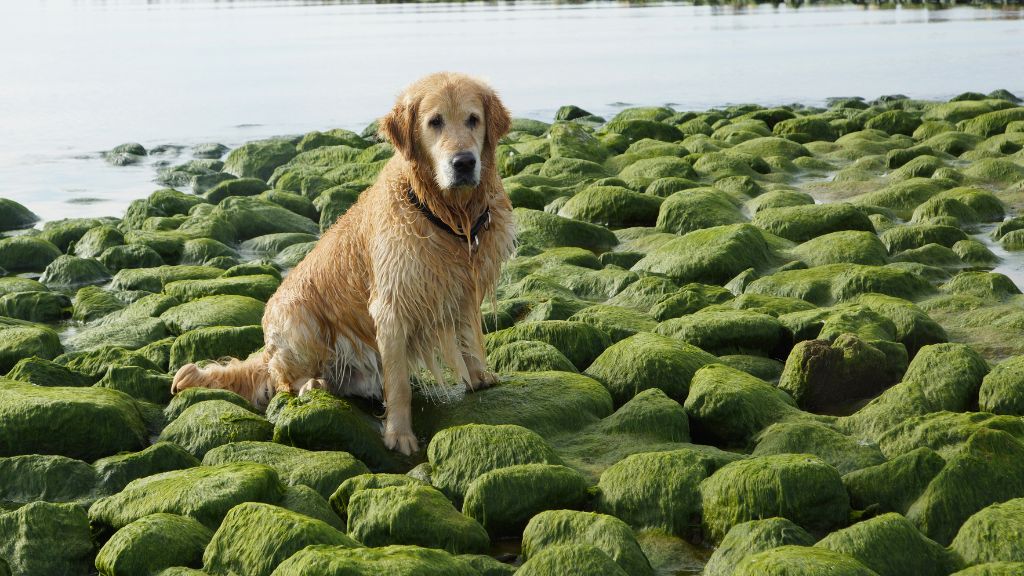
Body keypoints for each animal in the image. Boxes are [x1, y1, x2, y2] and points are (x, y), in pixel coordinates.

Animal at [173, 72, 520, 453]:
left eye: (473, 119)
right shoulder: (391, 306)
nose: (464, 163)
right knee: (281, 380)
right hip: (301, 321)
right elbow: (399, 384)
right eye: (435, 122)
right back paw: (312, 385)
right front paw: (399, 434)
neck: (445, 214)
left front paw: (477, 377)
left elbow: (469, 338)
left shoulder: (462, 286)